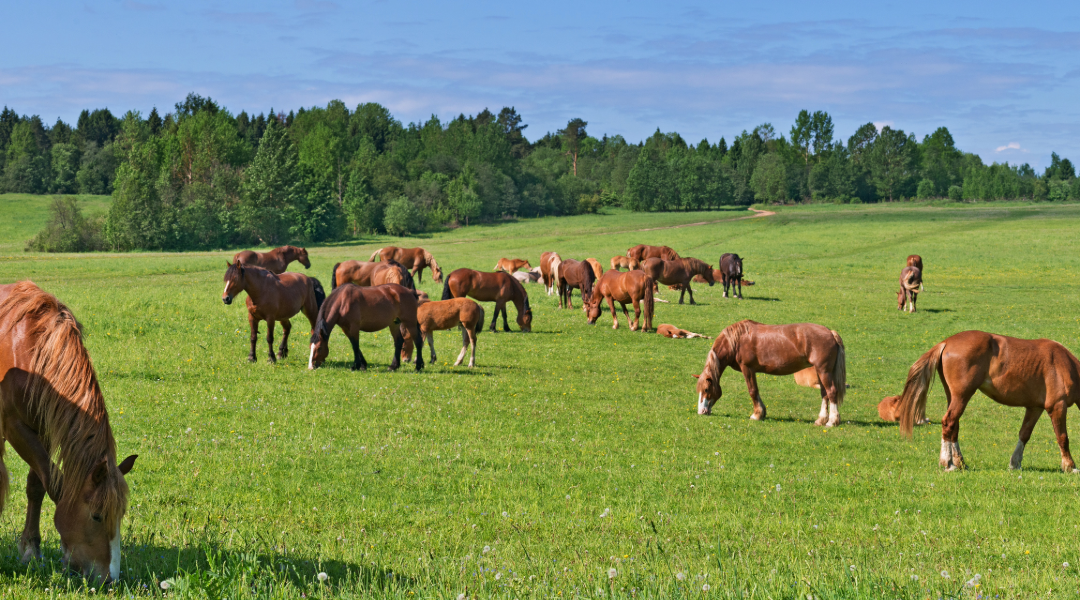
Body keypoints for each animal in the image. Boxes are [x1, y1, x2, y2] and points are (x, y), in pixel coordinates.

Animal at [0, 281, 138, 582]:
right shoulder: (14, 426)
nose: (110, 579)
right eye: (97, 516)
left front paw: (32, 550)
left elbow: (38, 485)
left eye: (120, 516)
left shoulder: (43, 429)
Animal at [693, 320, 846, 426]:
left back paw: (832, 421)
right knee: (824, 394)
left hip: (824, 371)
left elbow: (753, 391)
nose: (701, 412)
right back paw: (821, 420)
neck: (737, 341)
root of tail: (830, 333)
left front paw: (756, 415)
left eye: (706, 389)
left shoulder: (747, 368)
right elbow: (756, 391)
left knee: (831, 392)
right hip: (821, 372)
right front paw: (761, 413)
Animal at [890, 331, 1080, 472]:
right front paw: (1070, 466)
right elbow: (1062, 437)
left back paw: (960, 463)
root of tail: (946, 342)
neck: (1066, 365)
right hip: (962, 396)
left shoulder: (1034, 408)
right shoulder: (1057, 406)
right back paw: (948, 464)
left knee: (954, 426)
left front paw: (1015, 463)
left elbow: (1024, 434)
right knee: (949, 422)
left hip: (953, 396)